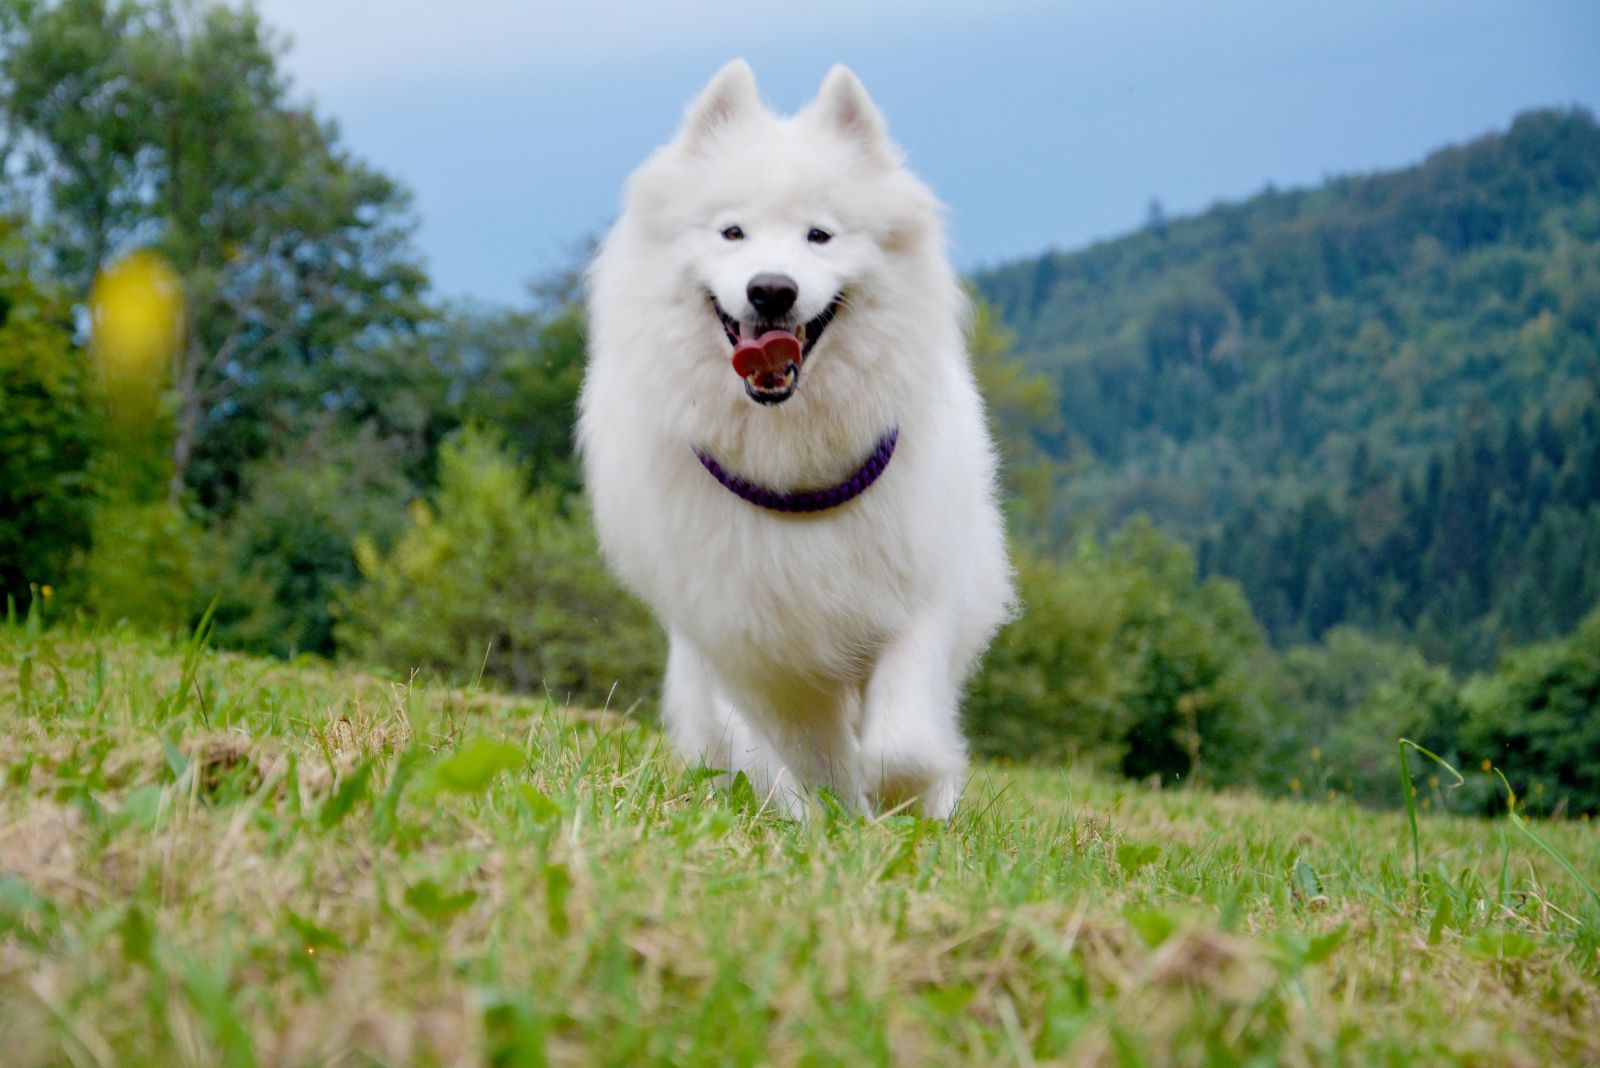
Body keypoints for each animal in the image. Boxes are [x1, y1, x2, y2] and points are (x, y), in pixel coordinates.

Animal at [582, 60, 1011, 818]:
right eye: (732, 232)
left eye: (820, 236)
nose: (772, 290)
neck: (792, 463)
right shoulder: (759, 653)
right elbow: (817, 760)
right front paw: (841, 819)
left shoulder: (915, 601)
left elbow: (902, 744)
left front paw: (911, 803)